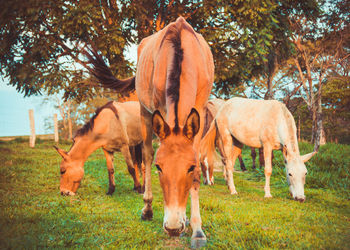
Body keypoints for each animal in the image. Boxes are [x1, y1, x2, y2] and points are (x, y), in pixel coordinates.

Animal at [86, 16, 215, 247]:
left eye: (190, 167)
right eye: (159, 167)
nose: (172, 228)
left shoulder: (199, 112)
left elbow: (198, 173)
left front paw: (197, 229)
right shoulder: (156, 111)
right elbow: (147, 158)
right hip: (144, 113)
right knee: (145, 154)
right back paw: (147, 208)